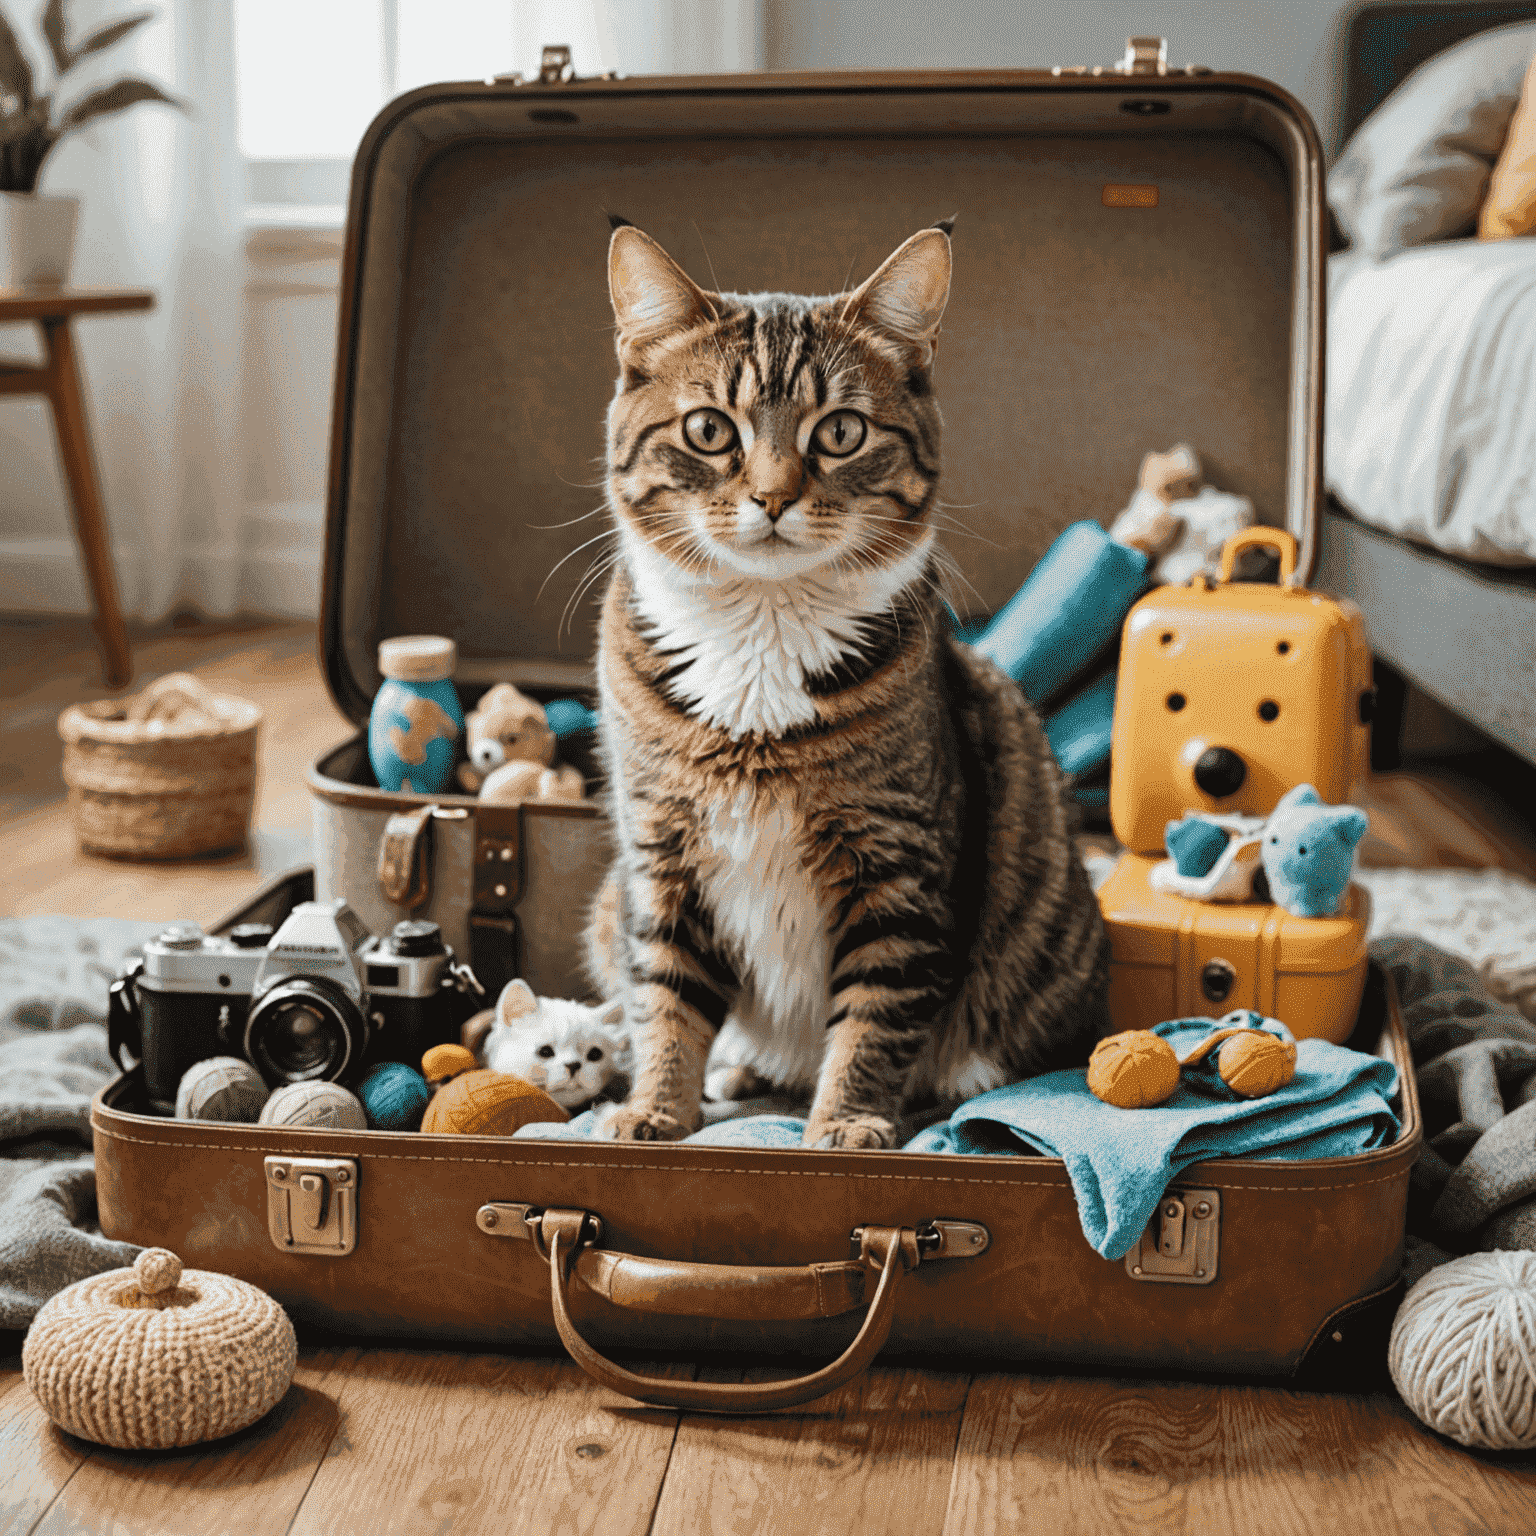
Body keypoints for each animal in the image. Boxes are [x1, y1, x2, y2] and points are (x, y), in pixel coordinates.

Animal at [583, 216, 1105, 1142]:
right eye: (710, 430)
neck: (761, 631)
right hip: (611, 903)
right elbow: (666, 996)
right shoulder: (660, 856)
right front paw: (655, 1108)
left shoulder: (899, 869)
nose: (772, 497)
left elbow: (877, 1014)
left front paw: (847, 1122)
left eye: (840, 433)